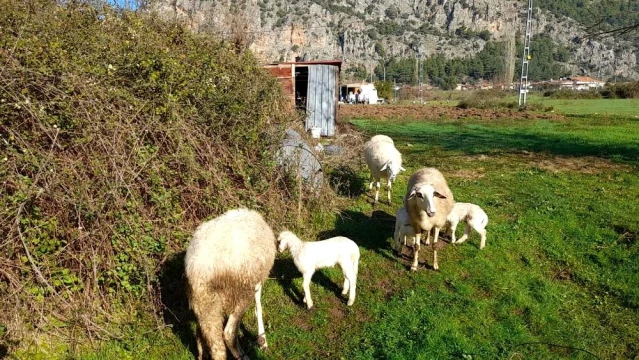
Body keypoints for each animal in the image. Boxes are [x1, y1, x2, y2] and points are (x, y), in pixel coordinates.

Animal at [184, 208, 276, 360]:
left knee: (209, 339)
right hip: (239, 291)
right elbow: (258, 305)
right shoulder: (256, 280)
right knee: (228, 334)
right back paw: (243, 355)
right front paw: (263, 341)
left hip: (204, 301)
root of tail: (200, 268)